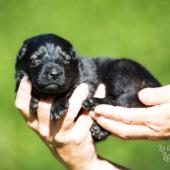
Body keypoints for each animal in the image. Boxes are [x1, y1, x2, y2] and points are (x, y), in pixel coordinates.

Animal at [15, 33, 161, 141]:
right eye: (35, 60)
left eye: (66, 60)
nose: (55, 74)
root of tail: (154, 84)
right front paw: (33, 100)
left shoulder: (86, 82)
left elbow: (69, 92)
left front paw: (58, 106)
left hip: (121, 69)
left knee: (117, 100)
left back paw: (93, 103)